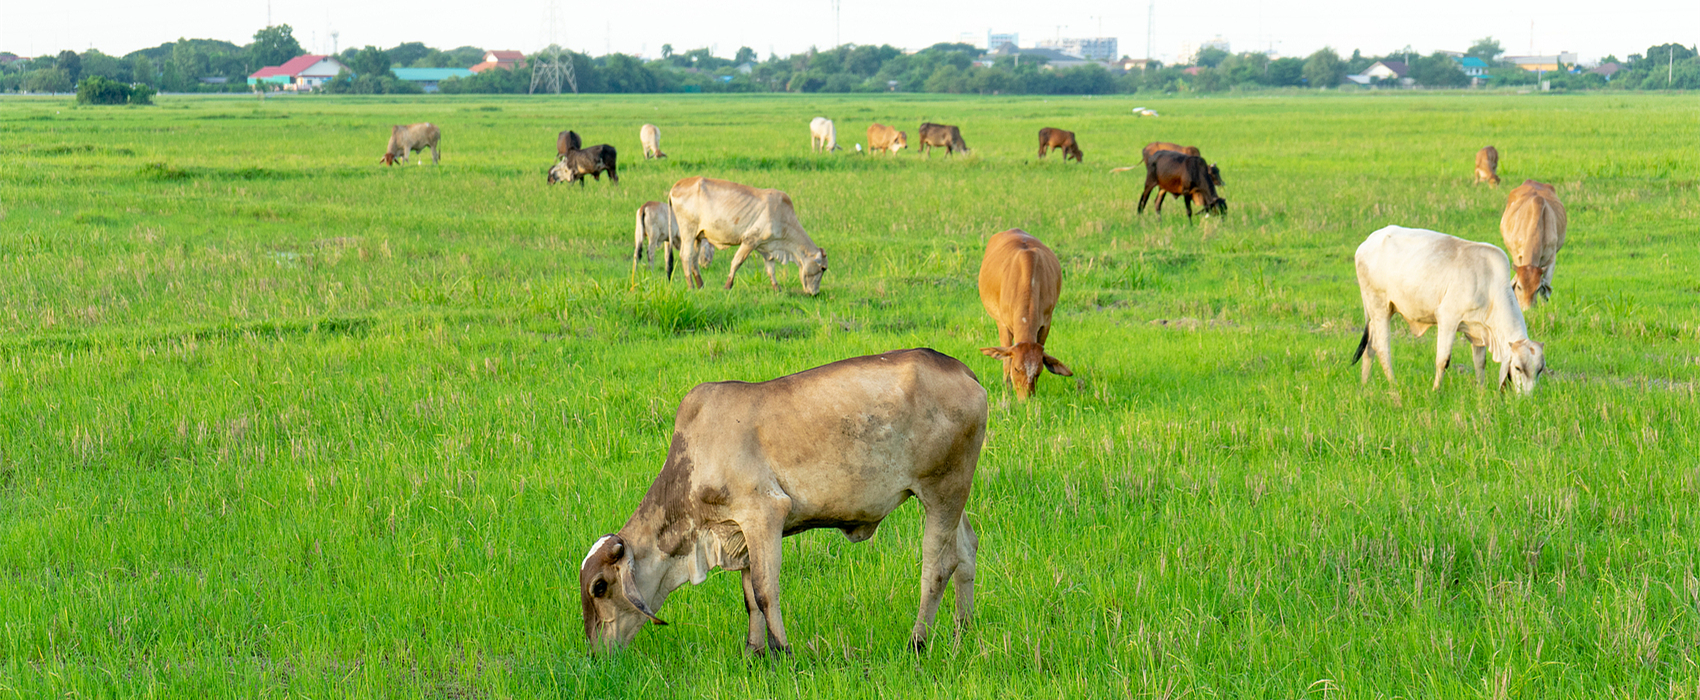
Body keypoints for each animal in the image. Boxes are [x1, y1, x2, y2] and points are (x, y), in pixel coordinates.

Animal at [581, 350, 992, 655]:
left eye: (600, 587)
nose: (596, 654)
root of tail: (962, 370)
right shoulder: (740, 534)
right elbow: (749, 595)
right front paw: (753, 652)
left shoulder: (764, 514)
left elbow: (765, 591)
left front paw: (784, 652)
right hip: (951, 496)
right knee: (966, 549)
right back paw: (964, 630)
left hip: (942, 490)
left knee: (938, 566)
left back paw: (917, 642)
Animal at [666, 177, 826, 295]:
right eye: (823, 268)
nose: (815, 293)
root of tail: (675, 186)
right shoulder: (750, 240)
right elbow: (736, 262)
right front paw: (727, 286)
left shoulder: (767, 248)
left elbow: (771, 269)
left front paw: (777, 289)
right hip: (688, 231)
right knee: (685, 256)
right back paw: (691, 286)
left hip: (697, 237)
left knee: (694, 259)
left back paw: (700, 285)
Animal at [979, 229, 1067, 399]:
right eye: (1017, 369)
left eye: (1039, 371)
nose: (1025, 400)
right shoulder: (1003, 325)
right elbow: (1006, 362)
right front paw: (1007, 396)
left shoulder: (1046, 323)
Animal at [1346, 225, 1550, 394]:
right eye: (1518, 368)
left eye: (1539, 370)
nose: (1527, 398)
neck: (1489, 283)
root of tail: (1368, 241)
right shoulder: (1448, 319)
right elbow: (1443, 360)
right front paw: (1436, 391)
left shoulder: (1478, 331)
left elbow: (1480, 363)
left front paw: (1481, 391)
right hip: (1379, 307)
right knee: (1382, 348)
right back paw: (1394, 385)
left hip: (1378, 312)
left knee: (1369, 347)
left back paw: (1364, 385)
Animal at [1502, 180, 1564, 309]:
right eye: (1519, 287)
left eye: (1537, 288)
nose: (1527, 309)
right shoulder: (1517, 255)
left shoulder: (1551, 259)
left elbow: (1545, 290)